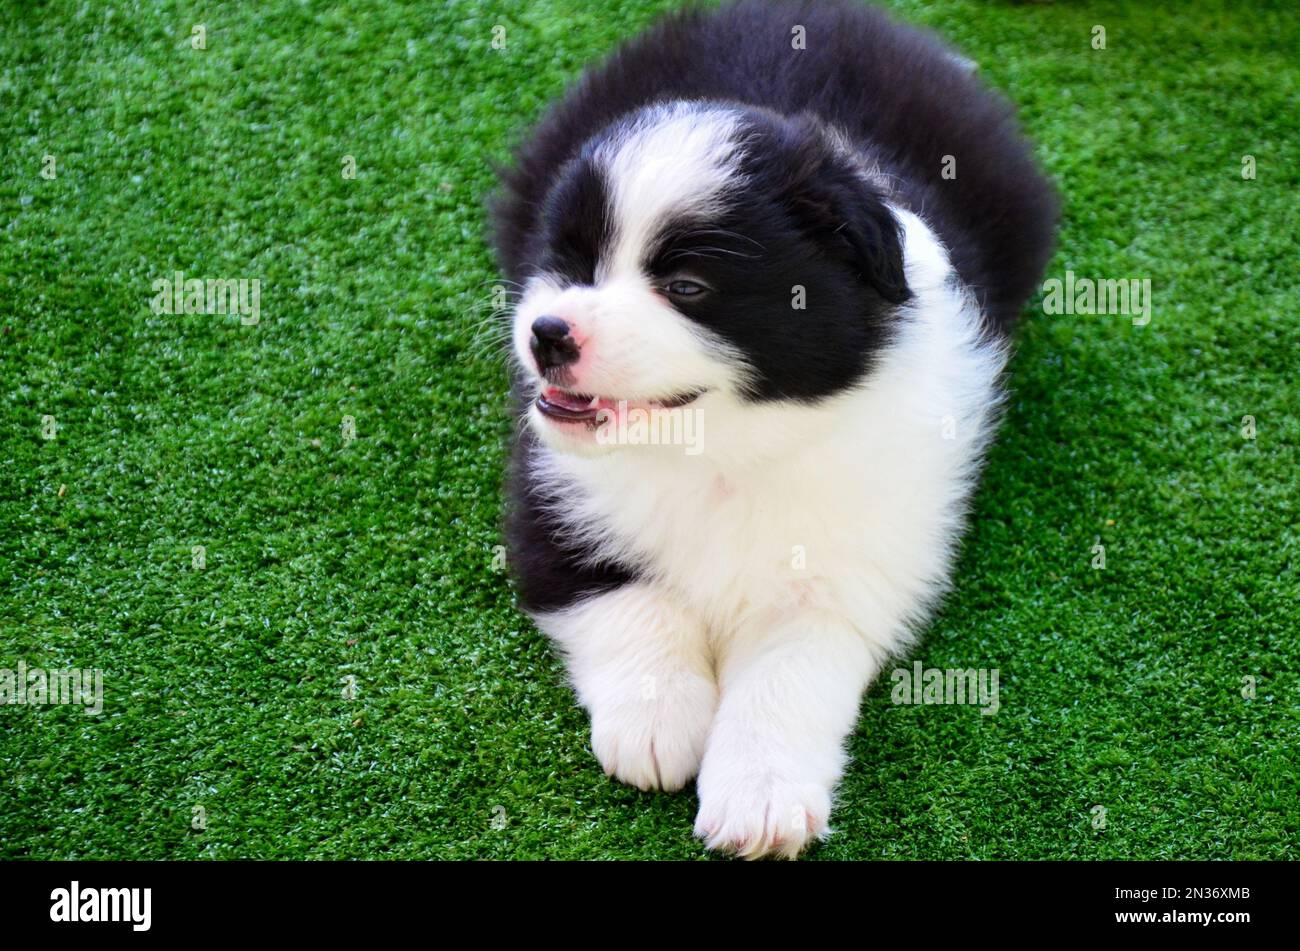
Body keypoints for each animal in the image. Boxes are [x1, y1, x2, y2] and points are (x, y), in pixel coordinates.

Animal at [488, 0, 1055, 862]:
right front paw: (657, 721)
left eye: (687, 287)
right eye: (572, 259)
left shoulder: (853, 549)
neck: (725, 446)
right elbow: (618, 590)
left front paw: (760, 800)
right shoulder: (553, 486)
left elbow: (791, 668)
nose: (547, 334)